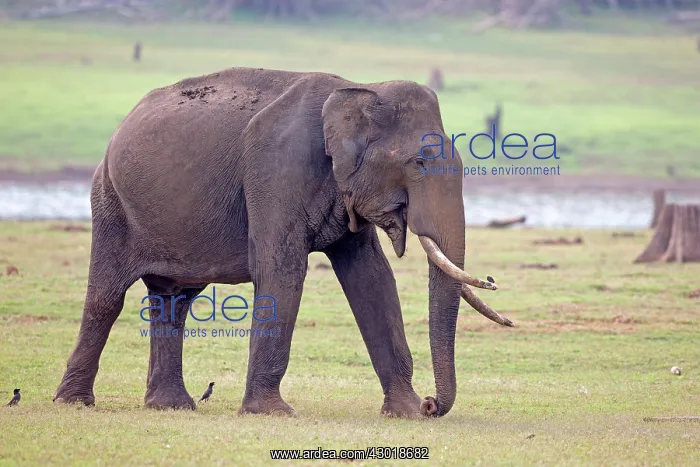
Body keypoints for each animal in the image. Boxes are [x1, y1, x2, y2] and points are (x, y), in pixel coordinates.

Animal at [53, 67, 512, 418]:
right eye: (418, 162)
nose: (432, 404)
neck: (360, 88)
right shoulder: (277, 168)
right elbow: (282, 267)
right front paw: (272, 413)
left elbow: (371, 277)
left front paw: (404, 413)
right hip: (110, 201)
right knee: (107, 298)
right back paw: (74, 403)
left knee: (174, 301)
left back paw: (171, 407)